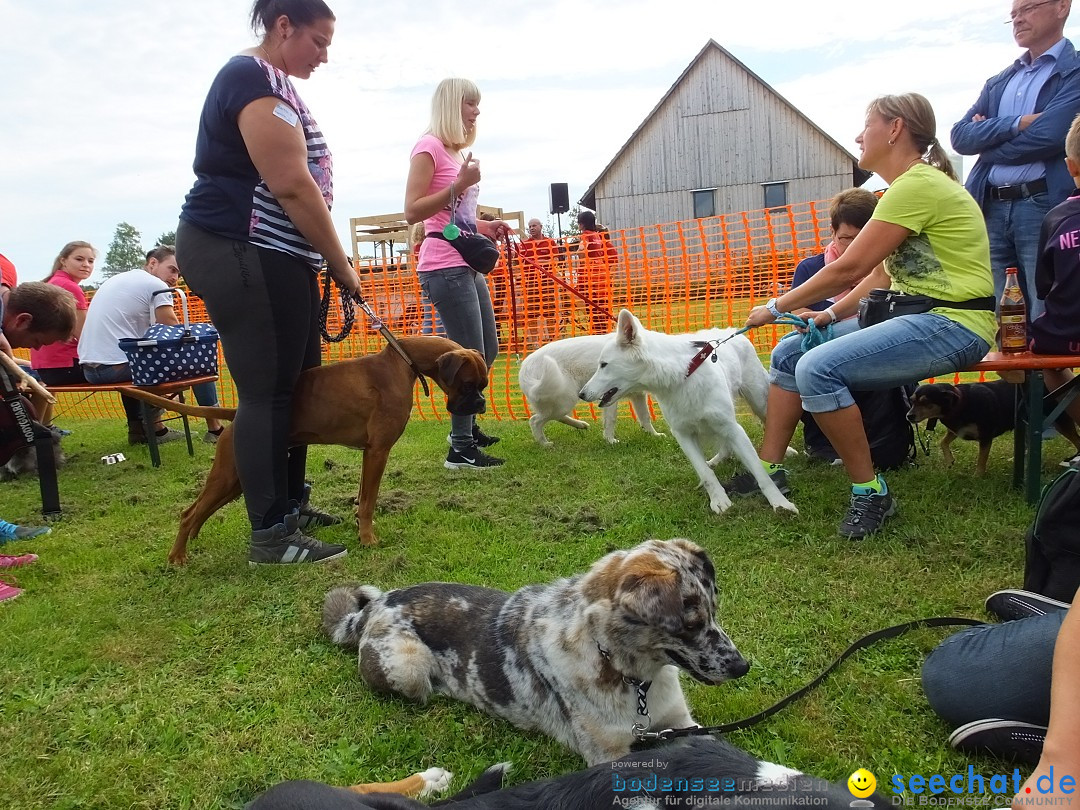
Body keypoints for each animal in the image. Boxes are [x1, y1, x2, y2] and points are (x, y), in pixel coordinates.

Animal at [123, 336, 490, 565]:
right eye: (468, 385)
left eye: (482, 386)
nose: (481, 404)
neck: (403, 362)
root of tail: (236, 413)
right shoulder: (377, 452)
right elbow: (369, 501)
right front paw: (368, 538)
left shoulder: (368, 454)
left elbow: (362, 497)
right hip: (228, 476)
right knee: (188, 513)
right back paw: (177, 557)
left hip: (234, 482)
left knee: (199, 511)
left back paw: (193, 539)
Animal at [321, 542, 751, 764]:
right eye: (690, 625)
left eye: (714, 611)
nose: (743, 666)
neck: (627, 674)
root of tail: (371, 610)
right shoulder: (608, 756)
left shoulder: (683, 723)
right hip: (408, 667)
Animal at [578, 311, 799, 514]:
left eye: (603, 365)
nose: (581, 394)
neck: (681, 377)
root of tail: (732, 331)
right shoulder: (683, 434)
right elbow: (705, 473)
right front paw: (719, 500)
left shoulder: (732, 428)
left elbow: (761, 474)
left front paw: (780, 503)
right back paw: (717, 460)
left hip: (759, 401)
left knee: (769, 422)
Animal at [902, 380, 1080, 475]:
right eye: (912, 400)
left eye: (925, 402)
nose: (909, 416)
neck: (959, 404)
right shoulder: (957, 430)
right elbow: (942, 442)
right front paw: (949, 460)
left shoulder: (985, 437)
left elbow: (982, 459)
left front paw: (977, 476)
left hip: (1060, 420)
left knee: (1076, 439)